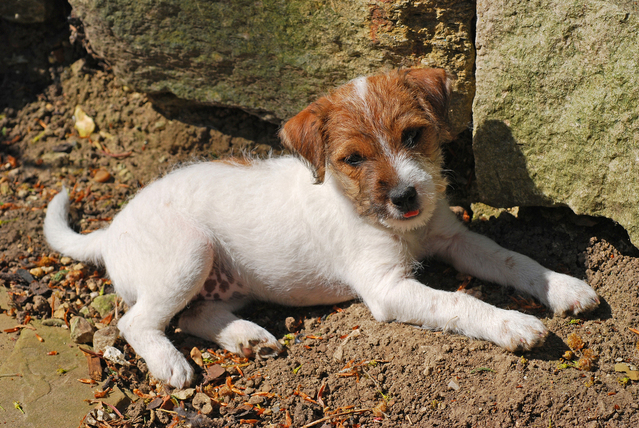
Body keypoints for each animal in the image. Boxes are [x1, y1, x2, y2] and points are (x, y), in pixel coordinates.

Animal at [43, 67, 600, 388]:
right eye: (353, 159)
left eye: (413, 135)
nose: (406, 197)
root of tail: (111, 230)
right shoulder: (388, 288)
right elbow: (459, 302)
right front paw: (514, 324)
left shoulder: (454, 239)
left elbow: (514, 259)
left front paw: (565, 287)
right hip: (189, 252)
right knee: (139, 323)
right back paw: (170, 366)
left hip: (224, 280)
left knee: (194, 315)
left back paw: (249, 338)